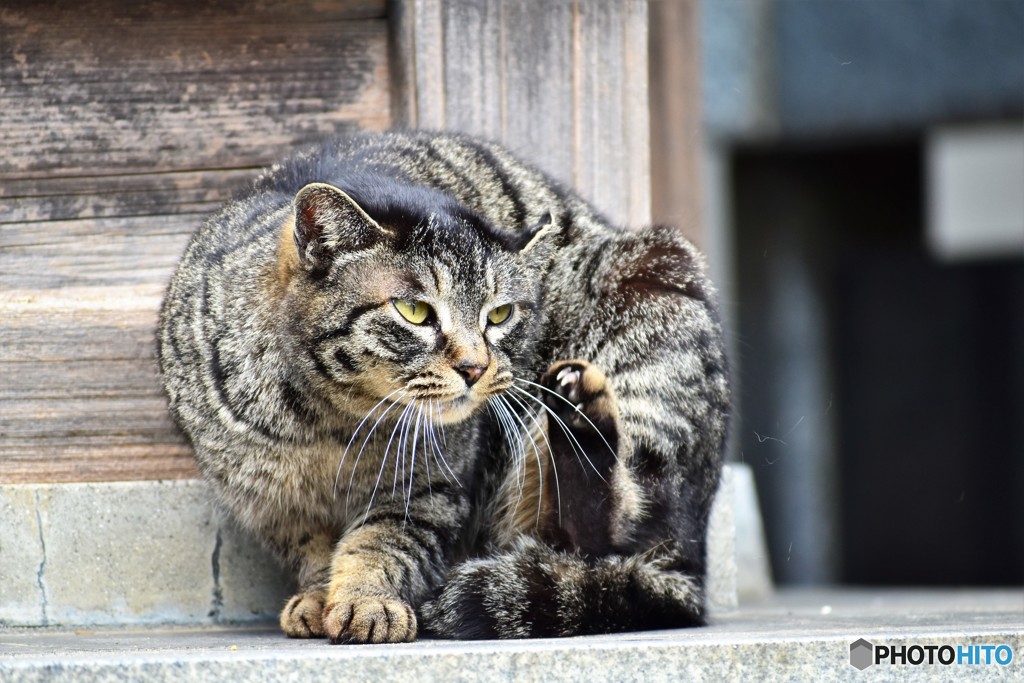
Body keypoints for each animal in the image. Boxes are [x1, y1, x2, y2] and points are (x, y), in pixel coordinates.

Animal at [157, 131, 729, 643]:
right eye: (414, 311)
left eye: (499, 315)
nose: (476, 367)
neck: (326, 423)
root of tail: (693, 559)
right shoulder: (274, 506)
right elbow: (316, 553)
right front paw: (319, 597)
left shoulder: (427, 490)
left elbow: (381, 544)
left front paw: (367, 601)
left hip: (654, 283)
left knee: (613, 531)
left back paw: (580, 421)